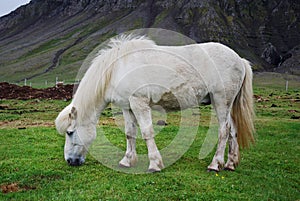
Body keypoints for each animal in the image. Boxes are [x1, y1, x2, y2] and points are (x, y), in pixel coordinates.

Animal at [54, 35, 253, 172]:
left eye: (70, 132)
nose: (70, 161)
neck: (116, 69)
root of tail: (239, 59)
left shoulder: (139, 103)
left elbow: (147, 132)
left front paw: (155, 164)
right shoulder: (127, 107)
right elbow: (130, 133)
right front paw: (127, 161)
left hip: (221, 101)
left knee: (224, 130)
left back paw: (215, 164)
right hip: (227, 104)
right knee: (233, 130)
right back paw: (230, 163)